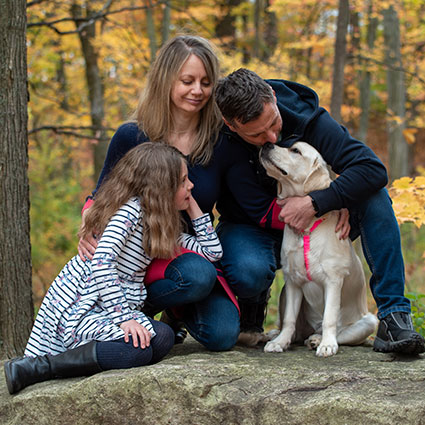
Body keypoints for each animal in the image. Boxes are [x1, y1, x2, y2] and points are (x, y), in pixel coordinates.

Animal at [260, 141, 376, 356]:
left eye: (295, 151)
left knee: (339, 332)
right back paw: (277, 335)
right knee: (296, 329)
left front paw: (327, 345)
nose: (267, 144)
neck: (306, 229)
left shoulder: (333, 280)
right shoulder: (292, 281)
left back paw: (317, 339)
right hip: (284, 293)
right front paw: (280, 342)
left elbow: (329, 317)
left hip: (370, 321)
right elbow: (288, 319)